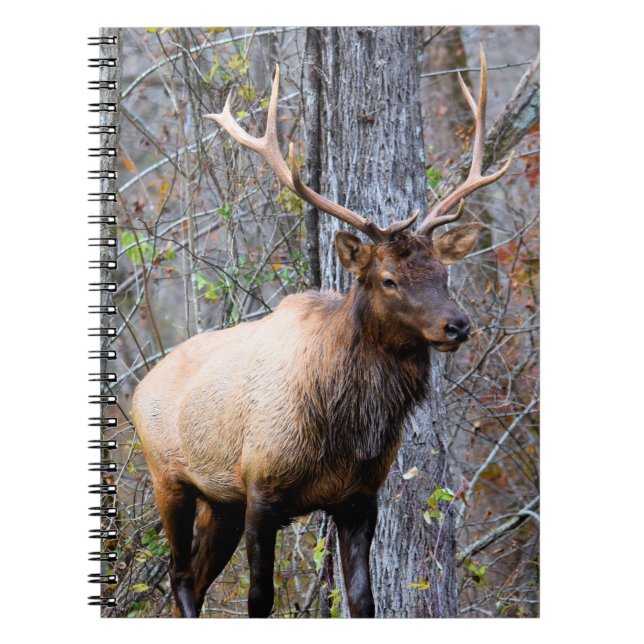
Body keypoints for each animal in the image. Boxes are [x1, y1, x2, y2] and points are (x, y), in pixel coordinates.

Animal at [132, 47, 513, 618]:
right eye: (388, 279)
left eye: (444, 273)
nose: (458, 324)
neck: (344, 427)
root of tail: (138, 388)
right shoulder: (261, 487)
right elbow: (260, 599)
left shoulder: (359, 498)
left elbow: (363, 600)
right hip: (168, 478)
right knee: (179, 577)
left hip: (219, 503)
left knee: (194, 579)